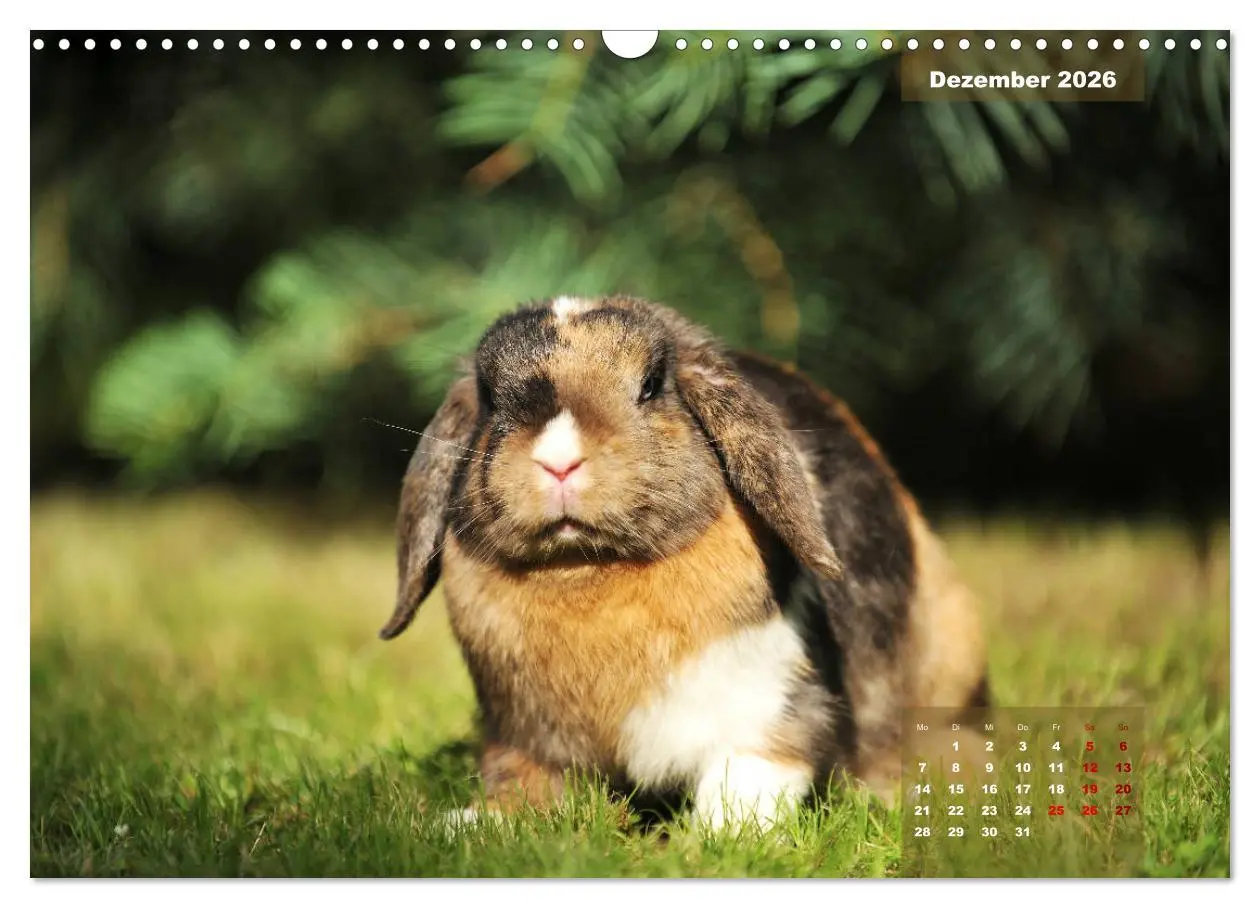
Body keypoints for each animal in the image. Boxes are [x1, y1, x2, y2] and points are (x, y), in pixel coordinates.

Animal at [381, 294, 990, 833]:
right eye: (489, 397)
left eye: (651, 384)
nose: (559, 460)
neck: (587, 569)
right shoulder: (522, 735)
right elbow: (522, 784)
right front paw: (469, 826)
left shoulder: (767, 712)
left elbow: (747, 779)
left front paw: (722, 840)